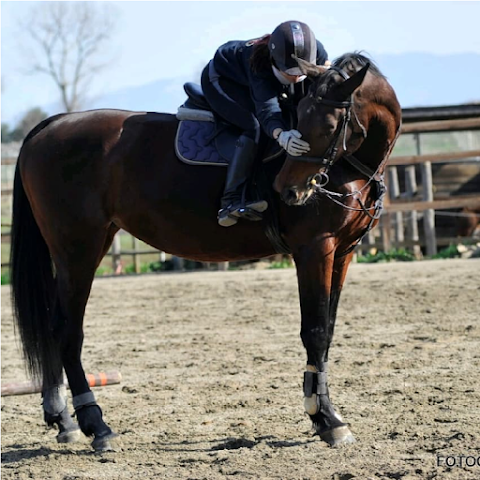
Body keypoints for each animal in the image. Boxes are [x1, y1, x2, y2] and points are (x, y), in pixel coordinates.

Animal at [10, 52, 402, 450]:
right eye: (303, 118)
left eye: (328, 124)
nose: (288, 190)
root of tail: (53, 125)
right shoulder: (315, 249)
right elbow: (316, 330)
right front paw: (326, 419)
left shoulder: (342, 252)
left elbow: (329, 330)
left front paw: (323, 411)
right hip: (77, 251)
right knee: (67, 330)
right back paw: (96, 425)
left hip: (88, 244)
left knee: (54, 326)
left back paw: (64, 419)